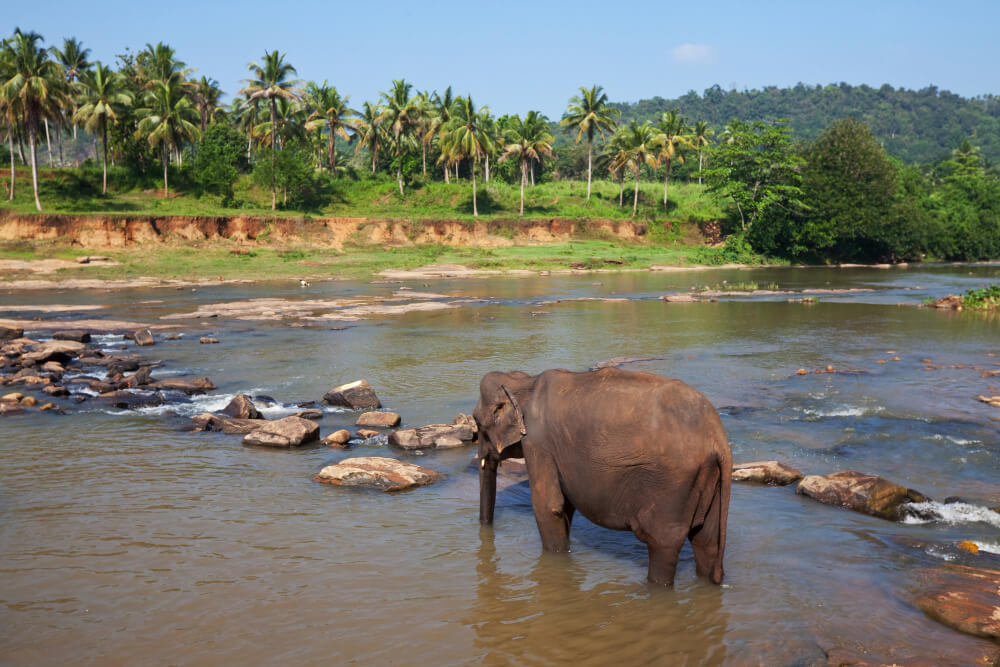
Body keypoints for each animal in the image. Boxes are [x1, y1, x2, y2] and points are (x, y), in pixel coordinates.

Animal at [473, 367, 732, 586]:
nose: (485, 528)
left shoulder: (538, 443)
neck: (525, 381)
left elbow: (548, 506)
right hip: (711, 481)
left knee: (663, 543)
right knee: (706, 541)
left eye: (477, 422)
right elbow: (565, 506)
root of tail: (717, 437)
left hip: (674, 486)